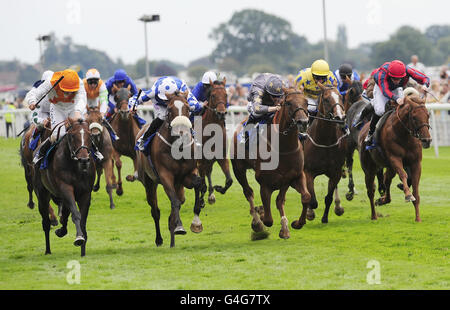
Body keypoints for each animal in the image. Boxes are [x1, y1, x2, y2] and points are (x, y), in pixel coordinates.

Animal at [33, 117, 96, 256]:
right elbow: (76, 214)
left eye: (90, 135)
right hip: (42, 194)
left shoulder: (86, 193)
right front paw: (79, 238)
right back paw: (48, 250)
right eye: (72, 136)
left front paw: (83, 250)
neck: (76, 166)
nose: (84, 160)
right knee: (46, 222)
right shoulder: (66, 188)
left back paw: (61, 230)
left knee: (65, 214)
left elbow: (82, 220)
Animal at [134, 89, 203, 247]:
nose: (182, 133)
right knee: (155, 210)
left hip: (179, 185)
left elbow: (199, 185)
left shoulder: (188, 174)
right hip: (149, 182)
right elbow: (174, 201)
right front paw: (180, 227)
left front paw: (196, 222)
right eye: (170, 109)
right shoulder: (165, 176)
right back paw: (160, 239)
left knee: (180, 200)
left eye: (187, 108)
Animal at [196, 78, 234, 206]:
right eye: (213, 95)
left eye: (226, 94)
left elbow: (229, 180)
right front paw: (200, 200)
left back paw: (211, 194)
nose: (221, 113)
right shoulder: (200, 161)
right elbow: (201, 183)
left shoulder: (221, 157)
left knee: (208, 172)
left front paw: (219, 188)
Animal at [230, 86, 312, 239]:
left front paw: (296, 224)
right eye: (288, 103)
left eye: (306, 102)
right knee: (248, 192)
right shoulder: (264, 183)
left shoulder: (294, 177)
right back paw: (257, 221)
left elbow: (304, 197)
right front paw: (261, 216)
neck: (283, 148)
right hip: (238, 169)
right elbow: (268, 219)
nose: (303, 122)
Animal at [302, 83, 348, 224]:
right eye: (327, 99)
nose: (340, 117)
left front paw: (325, 217)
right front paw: (310, 213)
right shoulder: (308, 171)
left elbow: (328, 198)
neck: (325, 141)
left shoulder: (336, 172)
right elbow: (313, 200)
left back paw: (338, 207)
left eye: (340, 97)